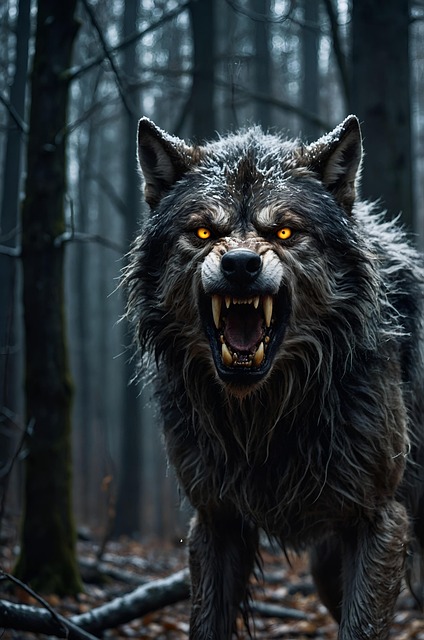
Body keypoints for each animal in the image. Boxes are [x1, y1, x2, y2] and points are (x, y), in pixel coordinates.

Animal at [125, 115, 424, 639]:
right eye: (203, 231)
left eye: (284, 232)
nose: (240, 265)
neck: (265, 420)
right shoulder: (216, 520)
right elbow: (205, 623)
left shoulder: (381, 519)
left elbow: (363, 627)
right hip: (326, 570)